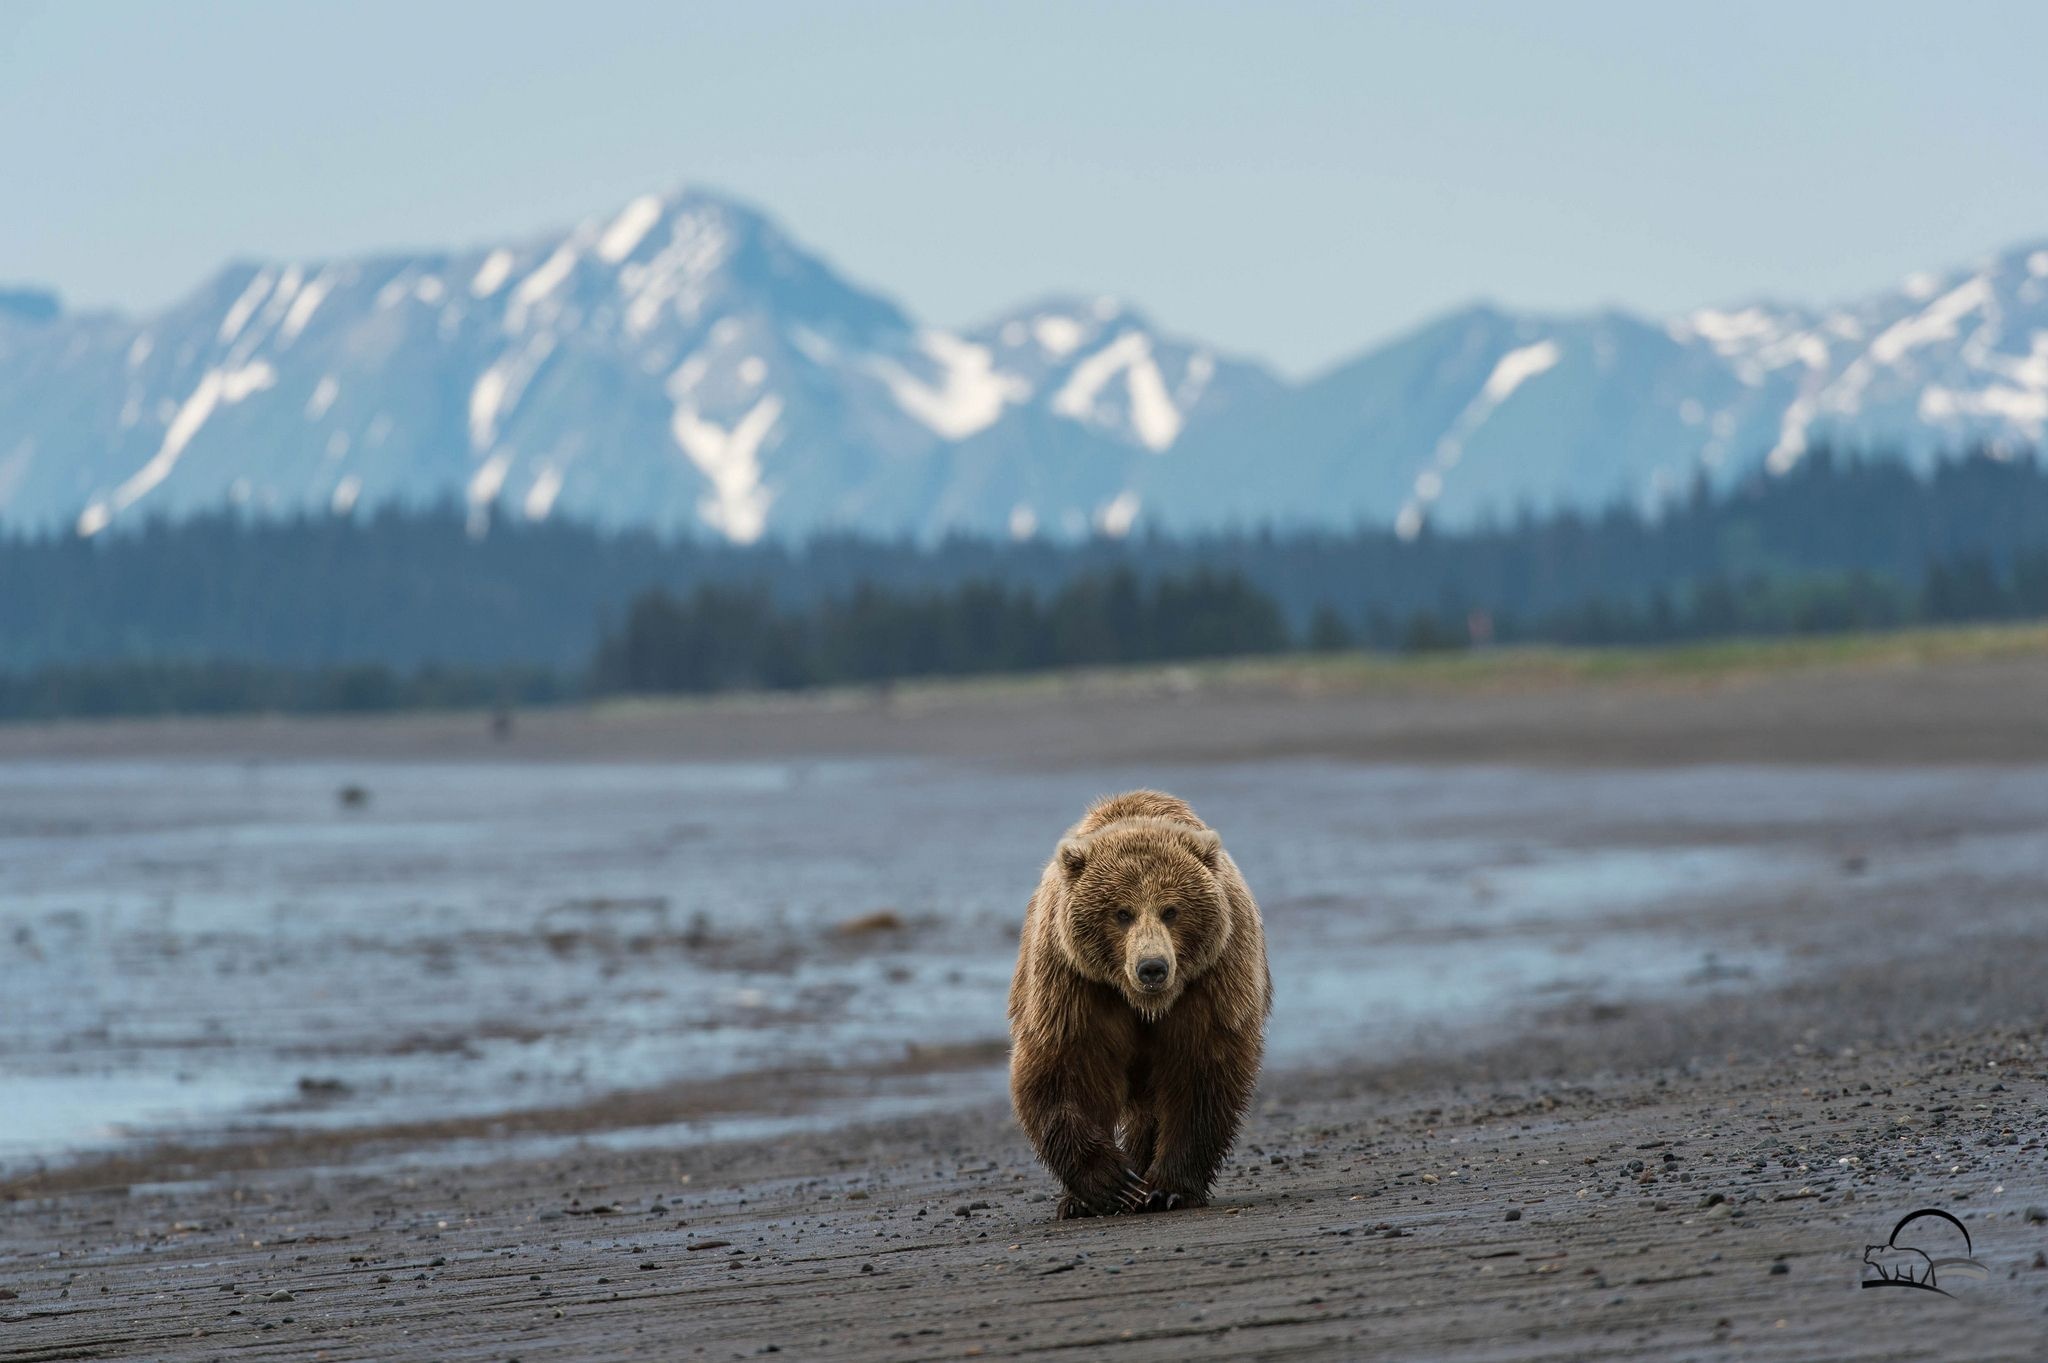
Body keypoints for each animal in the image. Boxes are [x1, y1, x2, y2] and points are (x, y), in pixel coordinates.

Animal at [1003, 781, 1261, 1211]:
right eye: (1121, 913)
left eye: (1171, 910)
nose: (1152, 967)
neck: (1144, 1004)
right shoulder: (1075, 983)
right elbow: (1065, 1067)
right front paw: (1110, 1183)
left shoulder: (1210, 980)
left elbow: (1200, 1071)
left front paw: (1167, 1188)